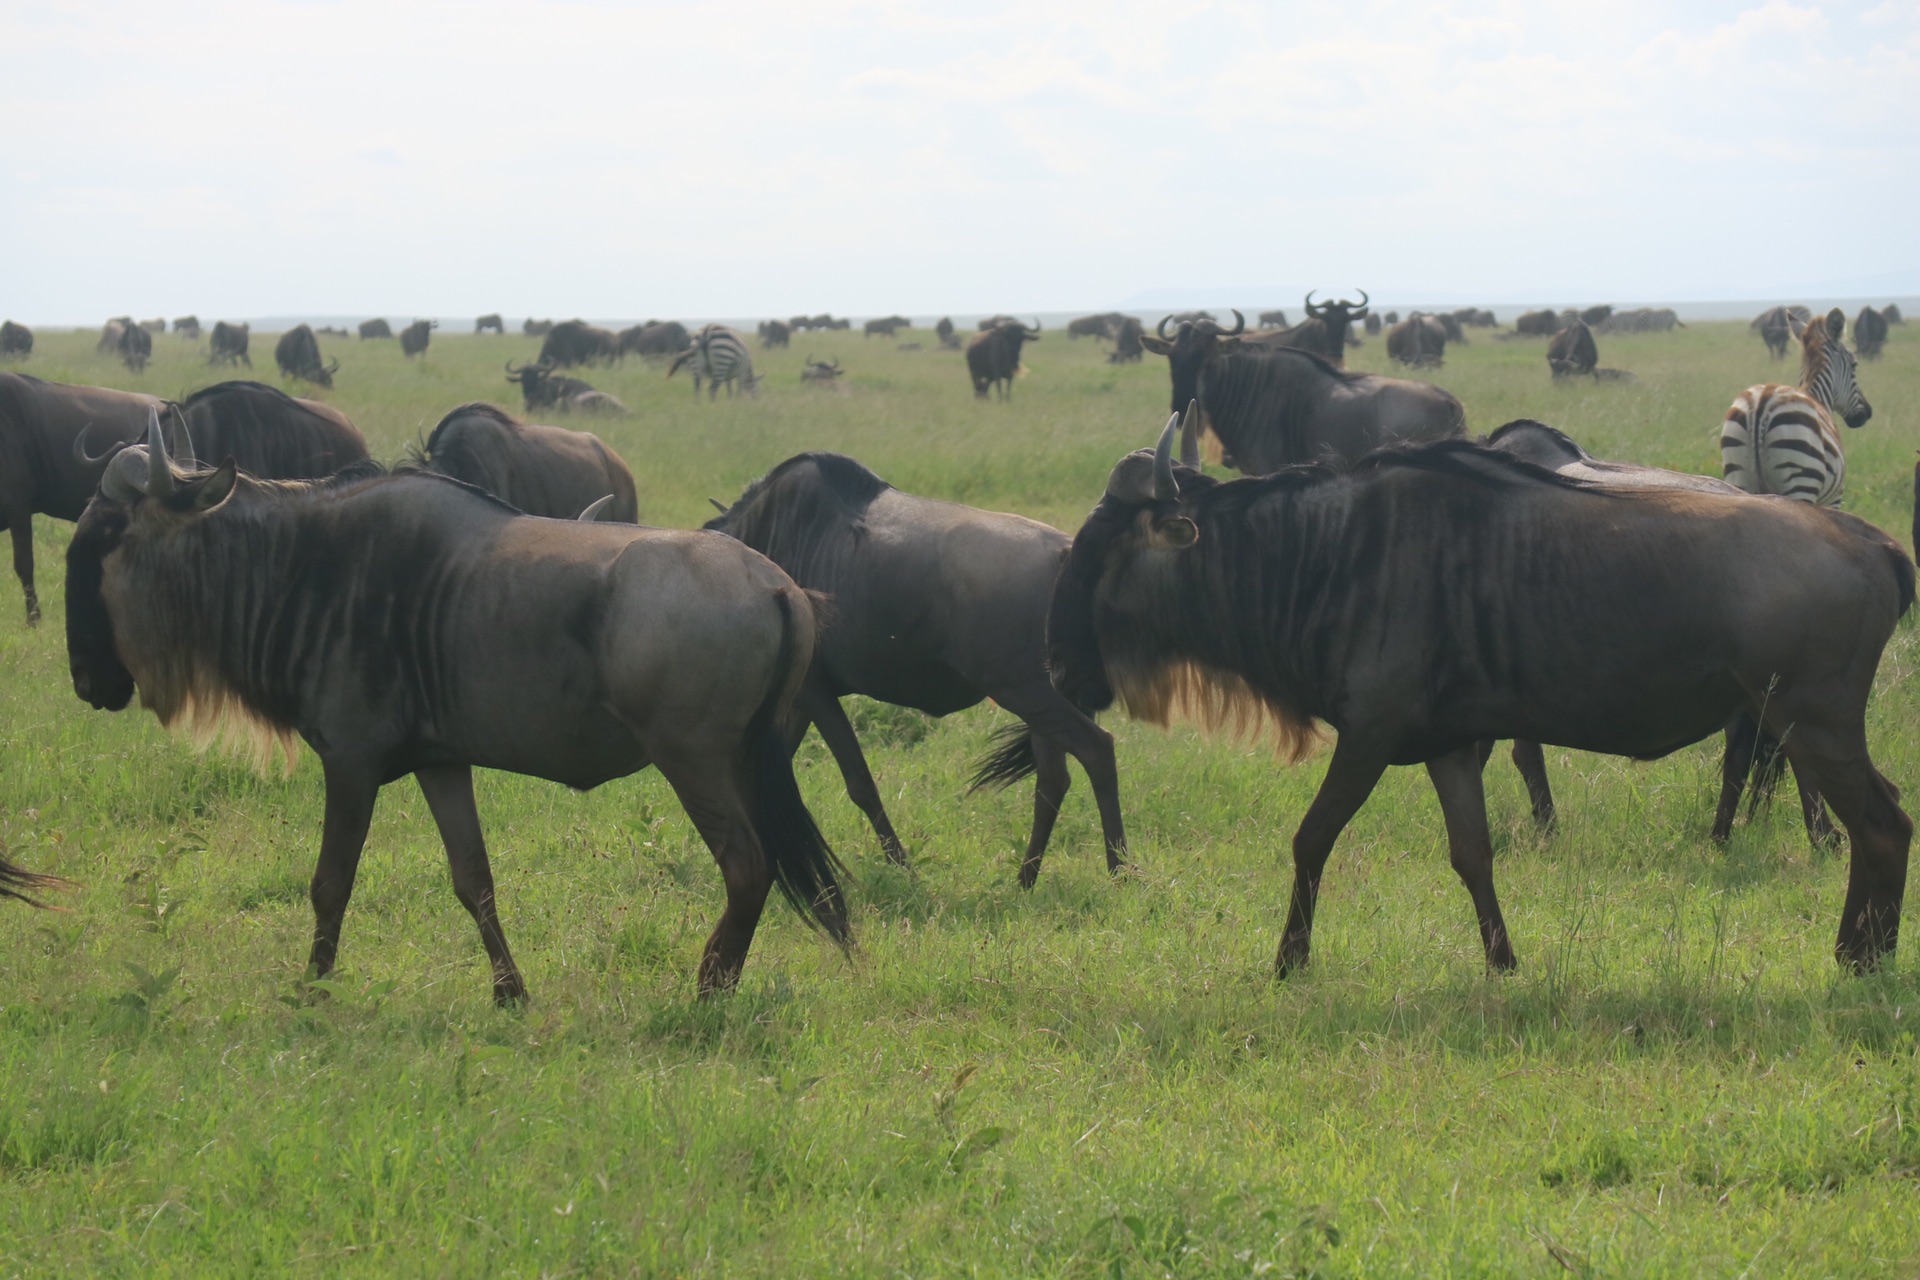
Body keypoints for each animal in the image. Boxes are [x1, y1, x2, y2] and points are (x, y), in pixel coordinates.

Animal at [1720, 307, 1866, 506]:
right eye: (1854, 365)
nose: (1866, 414)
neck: (1818, 396)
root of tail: (1761, 404)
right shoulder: (1834, 498)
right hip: (1801, 479)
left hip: (1738, 477)